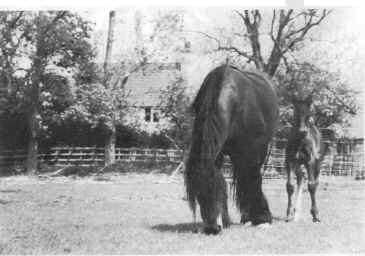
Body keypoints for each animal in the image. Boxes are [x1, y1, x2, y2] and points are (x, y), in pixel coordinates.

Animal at [185, 65, 278, 234]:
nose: (212, 229)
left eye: (214, 191)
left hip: (258, 150)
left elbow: (252, 179)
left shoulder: (251, 152)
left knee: (249, 177)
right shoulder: (218, 151)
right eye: (199, 196)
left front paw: (262, 219)